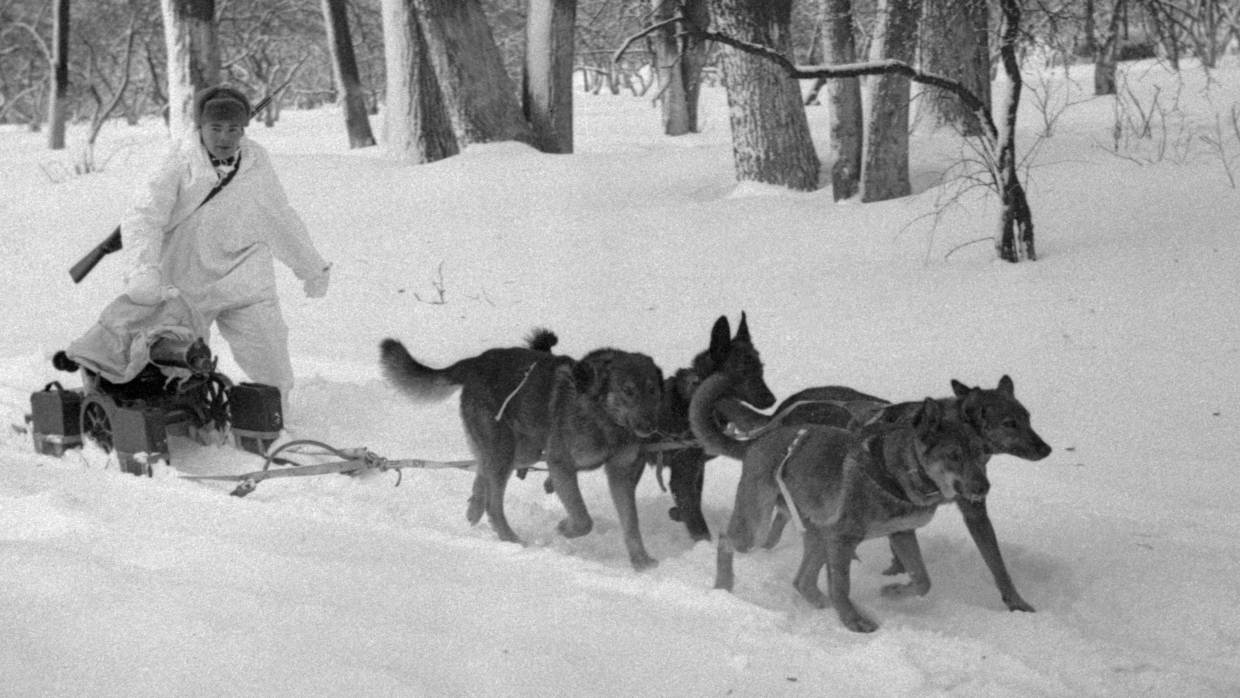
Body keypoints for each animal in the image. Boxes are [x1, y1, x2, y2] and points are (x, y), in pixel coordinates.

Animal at [379, 332, 664, 567]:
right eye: (627, 391)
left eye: (652, 391)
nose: (649, 426)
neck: (606, 419)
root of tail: (476, 361)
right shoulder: (561, 464)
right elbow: (583, 519)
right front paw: (565, 528)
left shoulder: (621, 473)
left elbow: (631, 522)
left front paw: (642, 561)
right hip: (505, 449)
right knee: (494, 503)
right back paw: (510, 538)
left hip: (524, 450)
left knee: (482, 472)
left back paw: (474, 509)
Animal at [694, 371, 992, 634]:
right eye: (954, 456)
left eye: (982, 453)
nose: (984, 488)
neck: (897, 471)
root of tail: (757, 442)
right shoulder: (842, 539)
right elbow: (841, 586)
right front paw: (853, 622)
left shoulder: (901, 533)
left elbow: (922, 580)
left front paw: (893, 591)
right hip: (757, 529)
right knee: (726, 540)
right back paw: (723, 587)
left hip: (817, 533)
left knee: (802, 581)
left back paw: (821, 603)